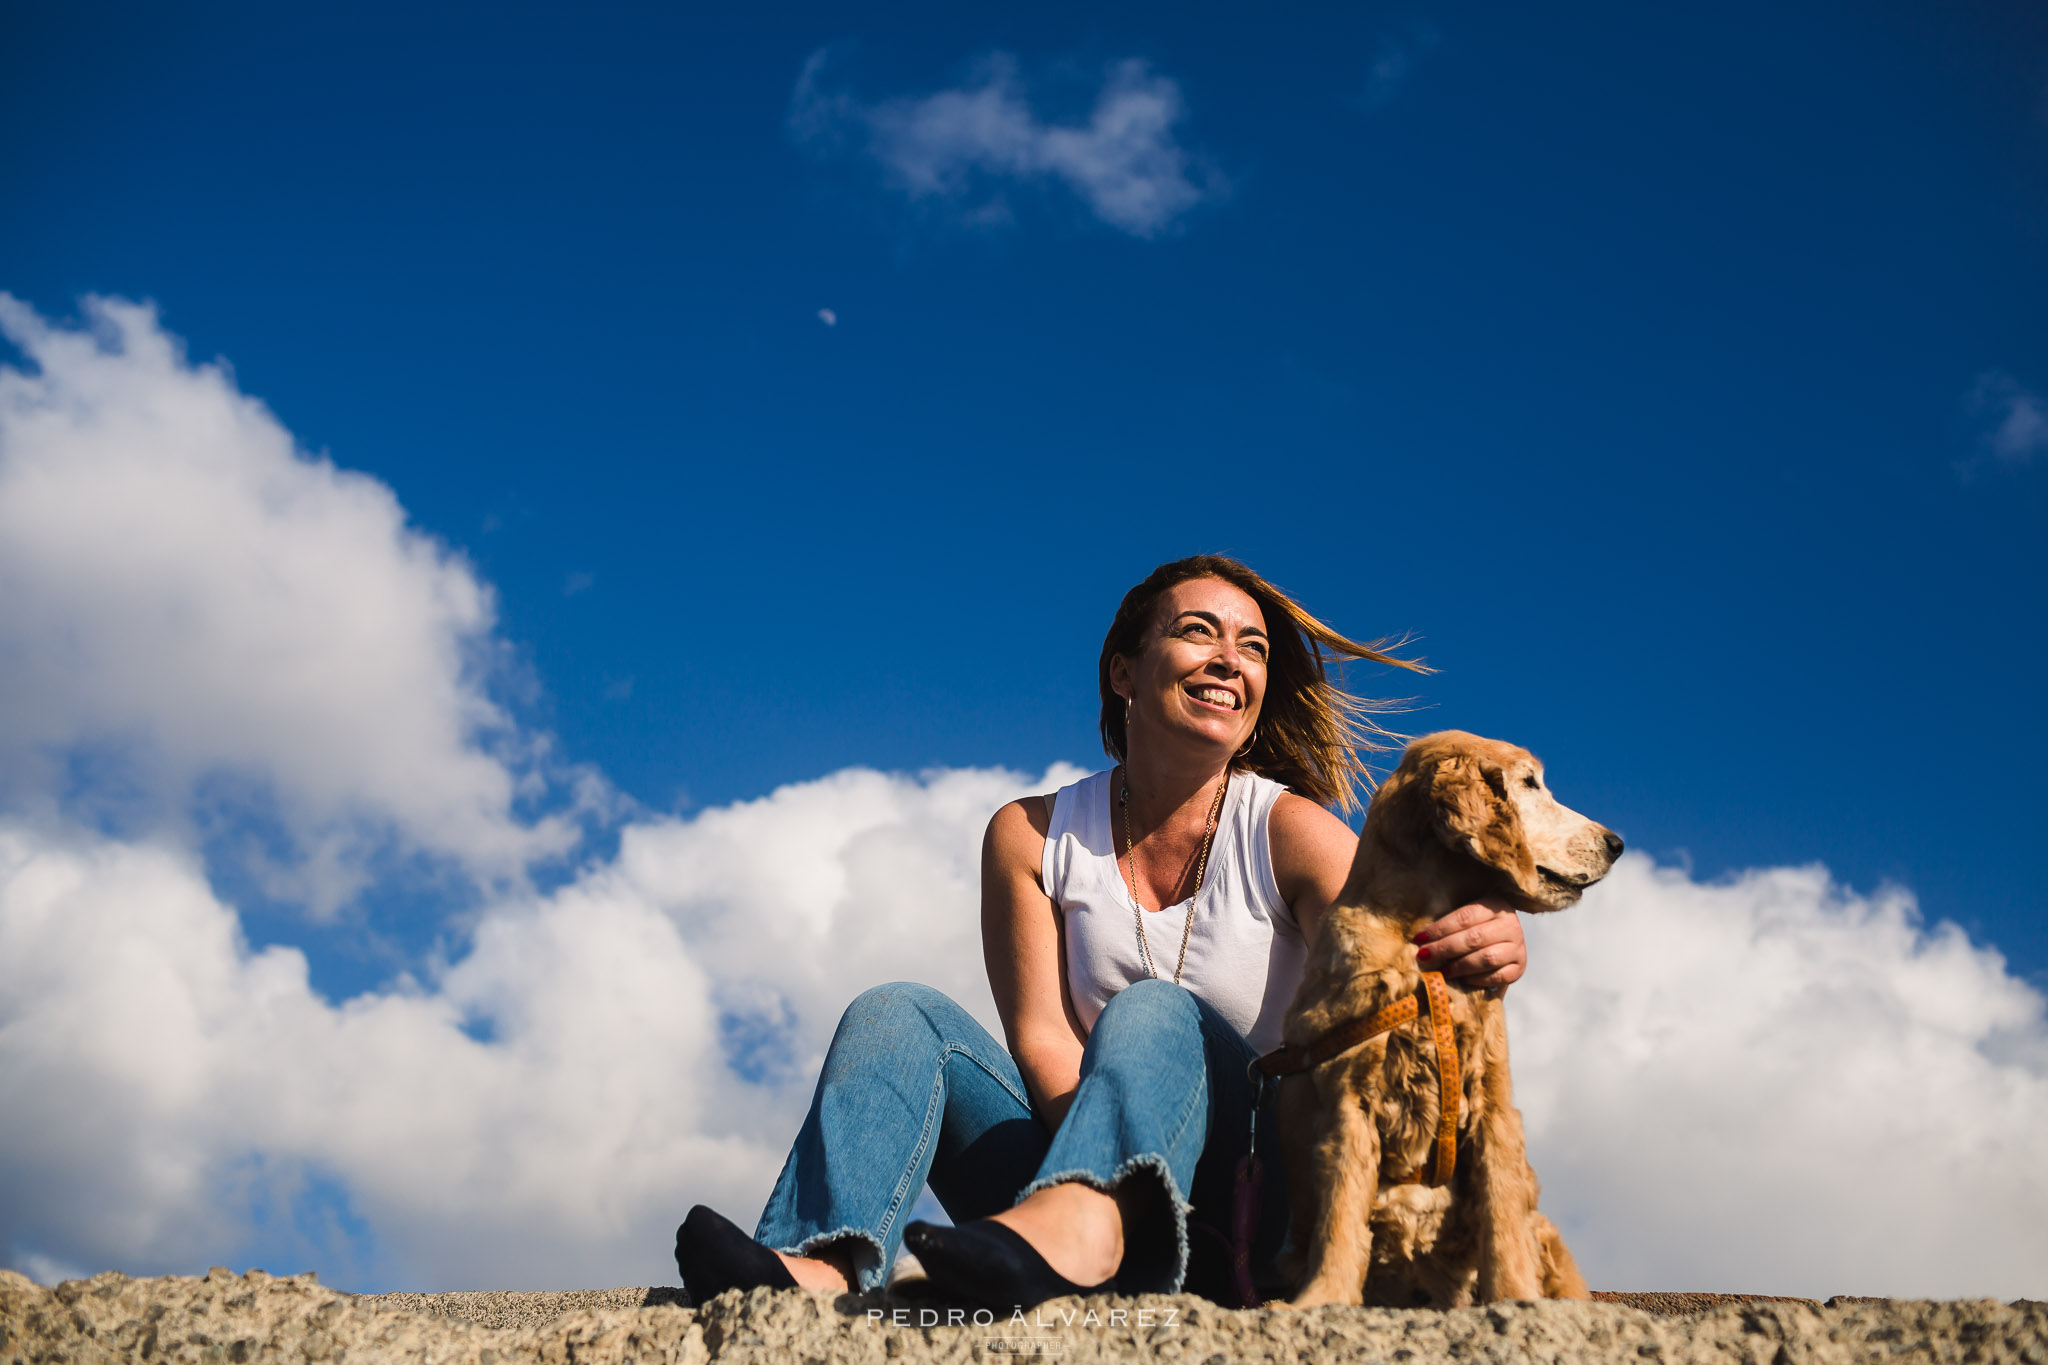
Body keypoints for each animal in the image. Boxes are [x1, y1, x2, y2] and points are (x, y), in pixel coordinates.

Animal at [1277, 732, 1613, 1309]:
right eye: (1530, 783)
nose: (1617, 843)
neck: (1420, 950)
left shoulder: (1495, 1105)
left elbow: (1503, 1222)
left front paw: (1516, 1300)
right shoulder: (1349, 1102)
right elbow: (1341, 1214)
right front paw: (1324, 1299)